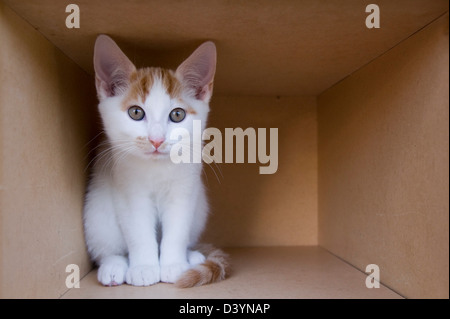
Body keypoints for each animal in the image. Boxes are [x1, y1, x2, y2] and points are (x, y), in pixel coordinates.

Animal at [83, 34, 229, 288]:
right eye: (136, 112)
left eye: (177, 114)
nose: (157, 140)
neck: (156, 168)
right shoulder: (129, 191)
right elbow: (138, 231)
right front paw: (144, 268)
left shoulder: (185, 189)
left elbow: (177, 228)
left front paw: (174, 265)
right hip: (96, 211)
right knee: (105, 247)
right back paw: (113, 267)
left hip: (200, 207)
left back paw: (193, 256)